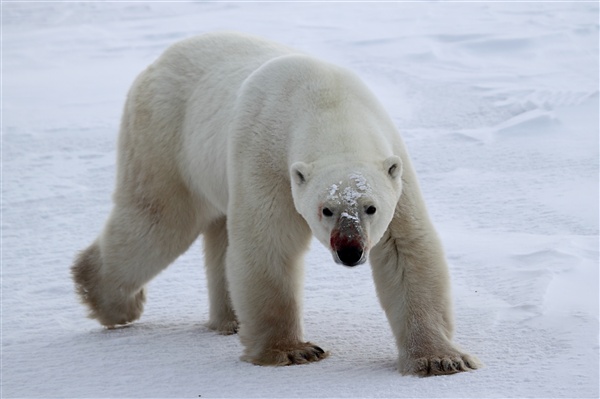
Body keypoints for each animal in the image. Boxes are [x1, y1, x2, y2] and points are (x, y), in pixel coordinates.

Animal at [72, 32, 480, 378]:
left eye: (371, 208)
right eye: (325, 209)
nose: (350, 250)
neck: (329, 104)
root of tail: (156, 62)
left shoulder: (396, 169)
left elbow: (405, 250)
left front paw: (441, 359)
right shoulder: (268, 156)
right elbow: (268, 244)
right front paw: (293, 350)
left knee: (216, 235)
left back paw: (230, 319)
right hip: (167, 141)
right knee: (158, 221)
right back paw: (111, 300)